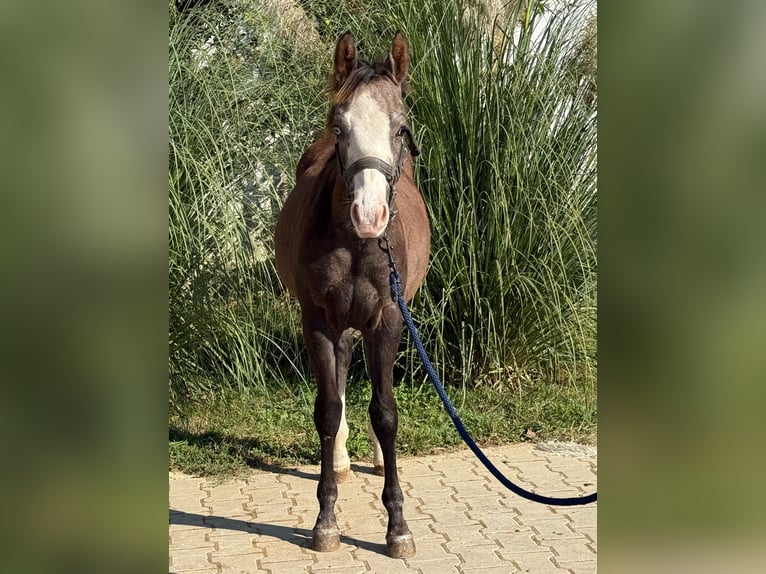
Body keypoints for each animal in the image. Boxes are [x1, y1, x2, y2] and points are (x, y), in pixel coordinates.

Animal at [274, 31, 430, 558]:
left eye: (400, 129)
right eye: (340, 126)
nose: (370, 214)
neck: (358, 245)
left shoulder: (389, 317)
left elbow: (386, 412)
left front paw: (398, 527)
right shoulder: (319, 319)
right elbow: (326, 410)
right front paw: (325, 521)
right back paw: (341, 460)